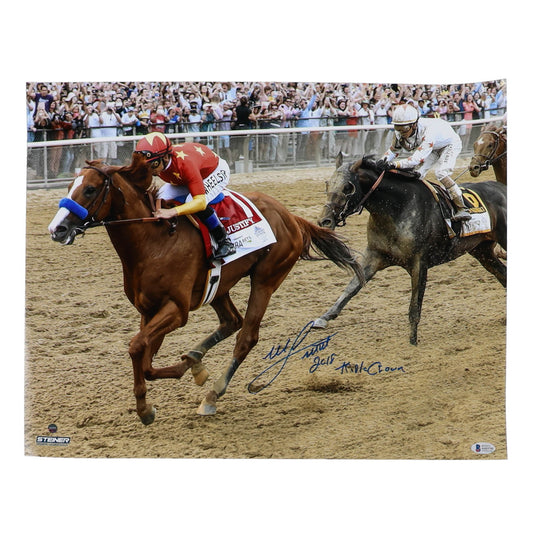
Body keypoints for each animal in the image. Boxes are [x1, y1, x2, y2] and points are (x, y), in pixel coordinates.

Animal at [47, 155, 364, 424]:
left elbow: (137, 347)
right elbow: (145, 359)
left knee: (246, 336)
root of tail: (291, 217)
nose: (57, 229)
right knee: (231, 321)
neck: (153, 241)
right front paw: (186, 372)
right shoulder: (148, 310)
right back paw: (195, 359)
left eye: (90, 190)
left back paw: (212, 395)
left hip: (266, 279)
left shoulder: (177, 310)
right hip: (219, 286)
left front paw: (147, 408)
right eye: (70, 186)